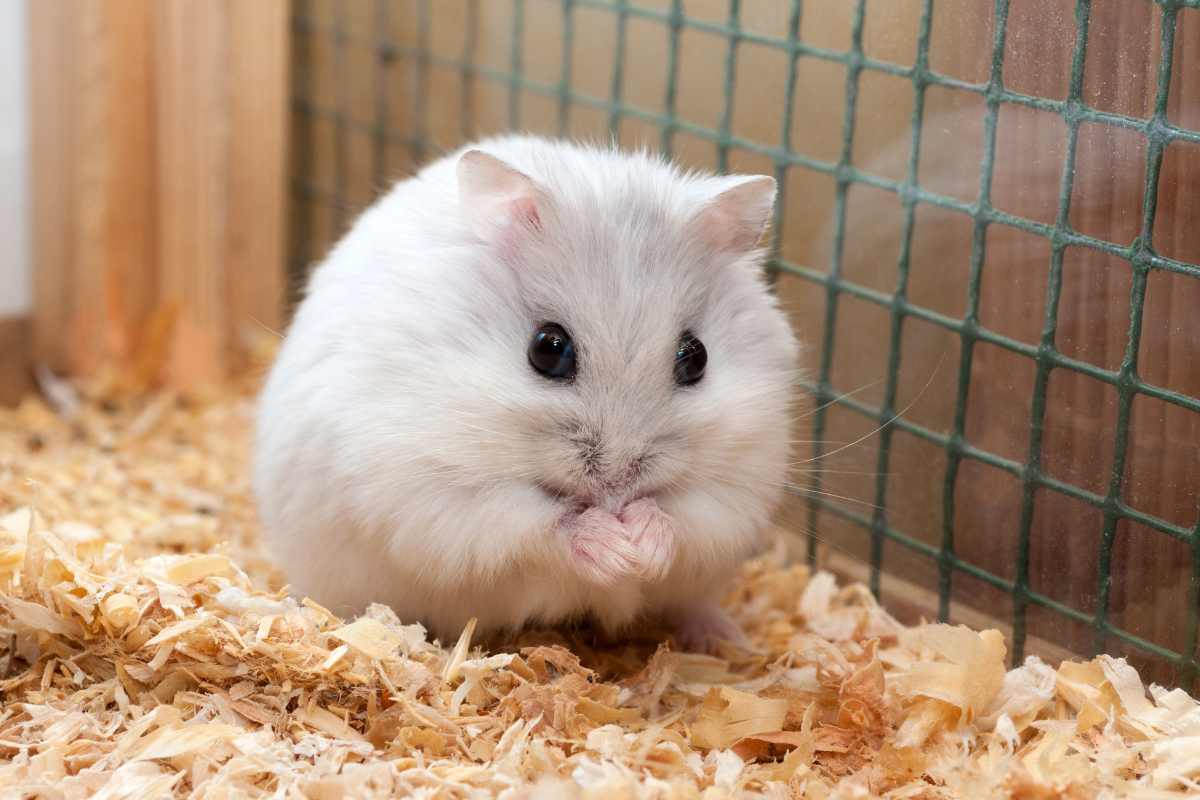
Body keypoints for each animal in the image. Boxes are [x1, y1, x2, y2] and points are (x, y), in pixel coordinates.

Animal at [253, 135, 799, 652]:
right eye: (548, 349)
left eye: (697, 357)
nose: (618, 486)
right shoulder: (434, 491)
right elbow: (538, 524)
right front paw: (615, 549)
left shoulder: (740, 484)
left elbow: (686, 517)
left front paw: (641, 545)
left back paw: (725, 639)